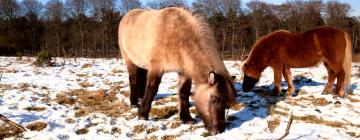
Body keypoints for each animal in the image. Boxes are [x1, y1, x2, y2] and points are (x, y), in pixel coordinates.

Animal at [117, 7, 236, 135]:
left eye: (227, 103)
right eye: (215, 99)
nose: (218, 130)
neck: (178, 37)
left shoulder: (184, 72)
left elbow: (184, 92)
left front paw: (186, 118)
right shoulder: (157, 68)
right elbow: (152, 89)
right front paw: (143, 115)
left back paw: (140, 97)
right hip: (129, 60)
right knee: (133, 80)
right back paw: (134, 103)